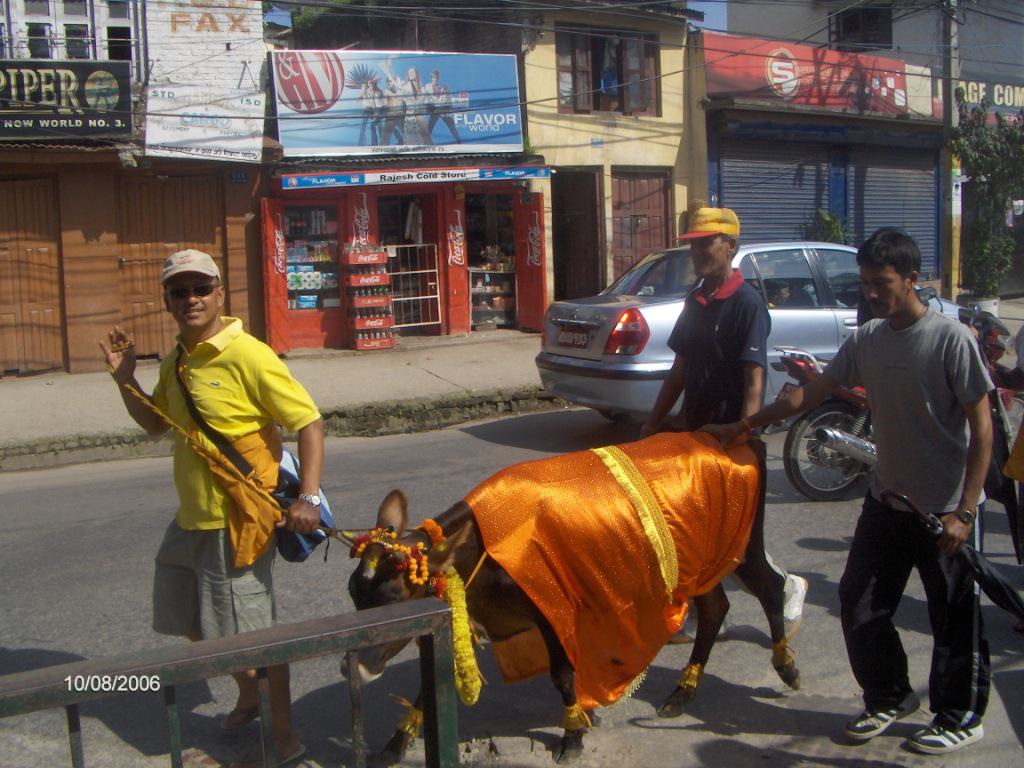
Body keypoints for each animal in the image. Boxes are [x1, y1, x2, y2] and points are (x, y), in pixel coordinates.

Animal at [348, 434, 794, 765]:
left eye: (398, 596)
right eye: (355, 595)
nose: (356, 665)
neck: (483, 553)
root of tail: (734, 439)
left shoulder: (553, 610)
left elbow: (562, 675)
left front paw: (573, 734)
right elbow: (431, 684)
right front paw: (395, 744)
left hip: (740, 547)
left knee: (771, 586)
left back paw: (786, 666)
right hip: (702, 566)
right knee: (716, 608)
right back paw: (682, 693)